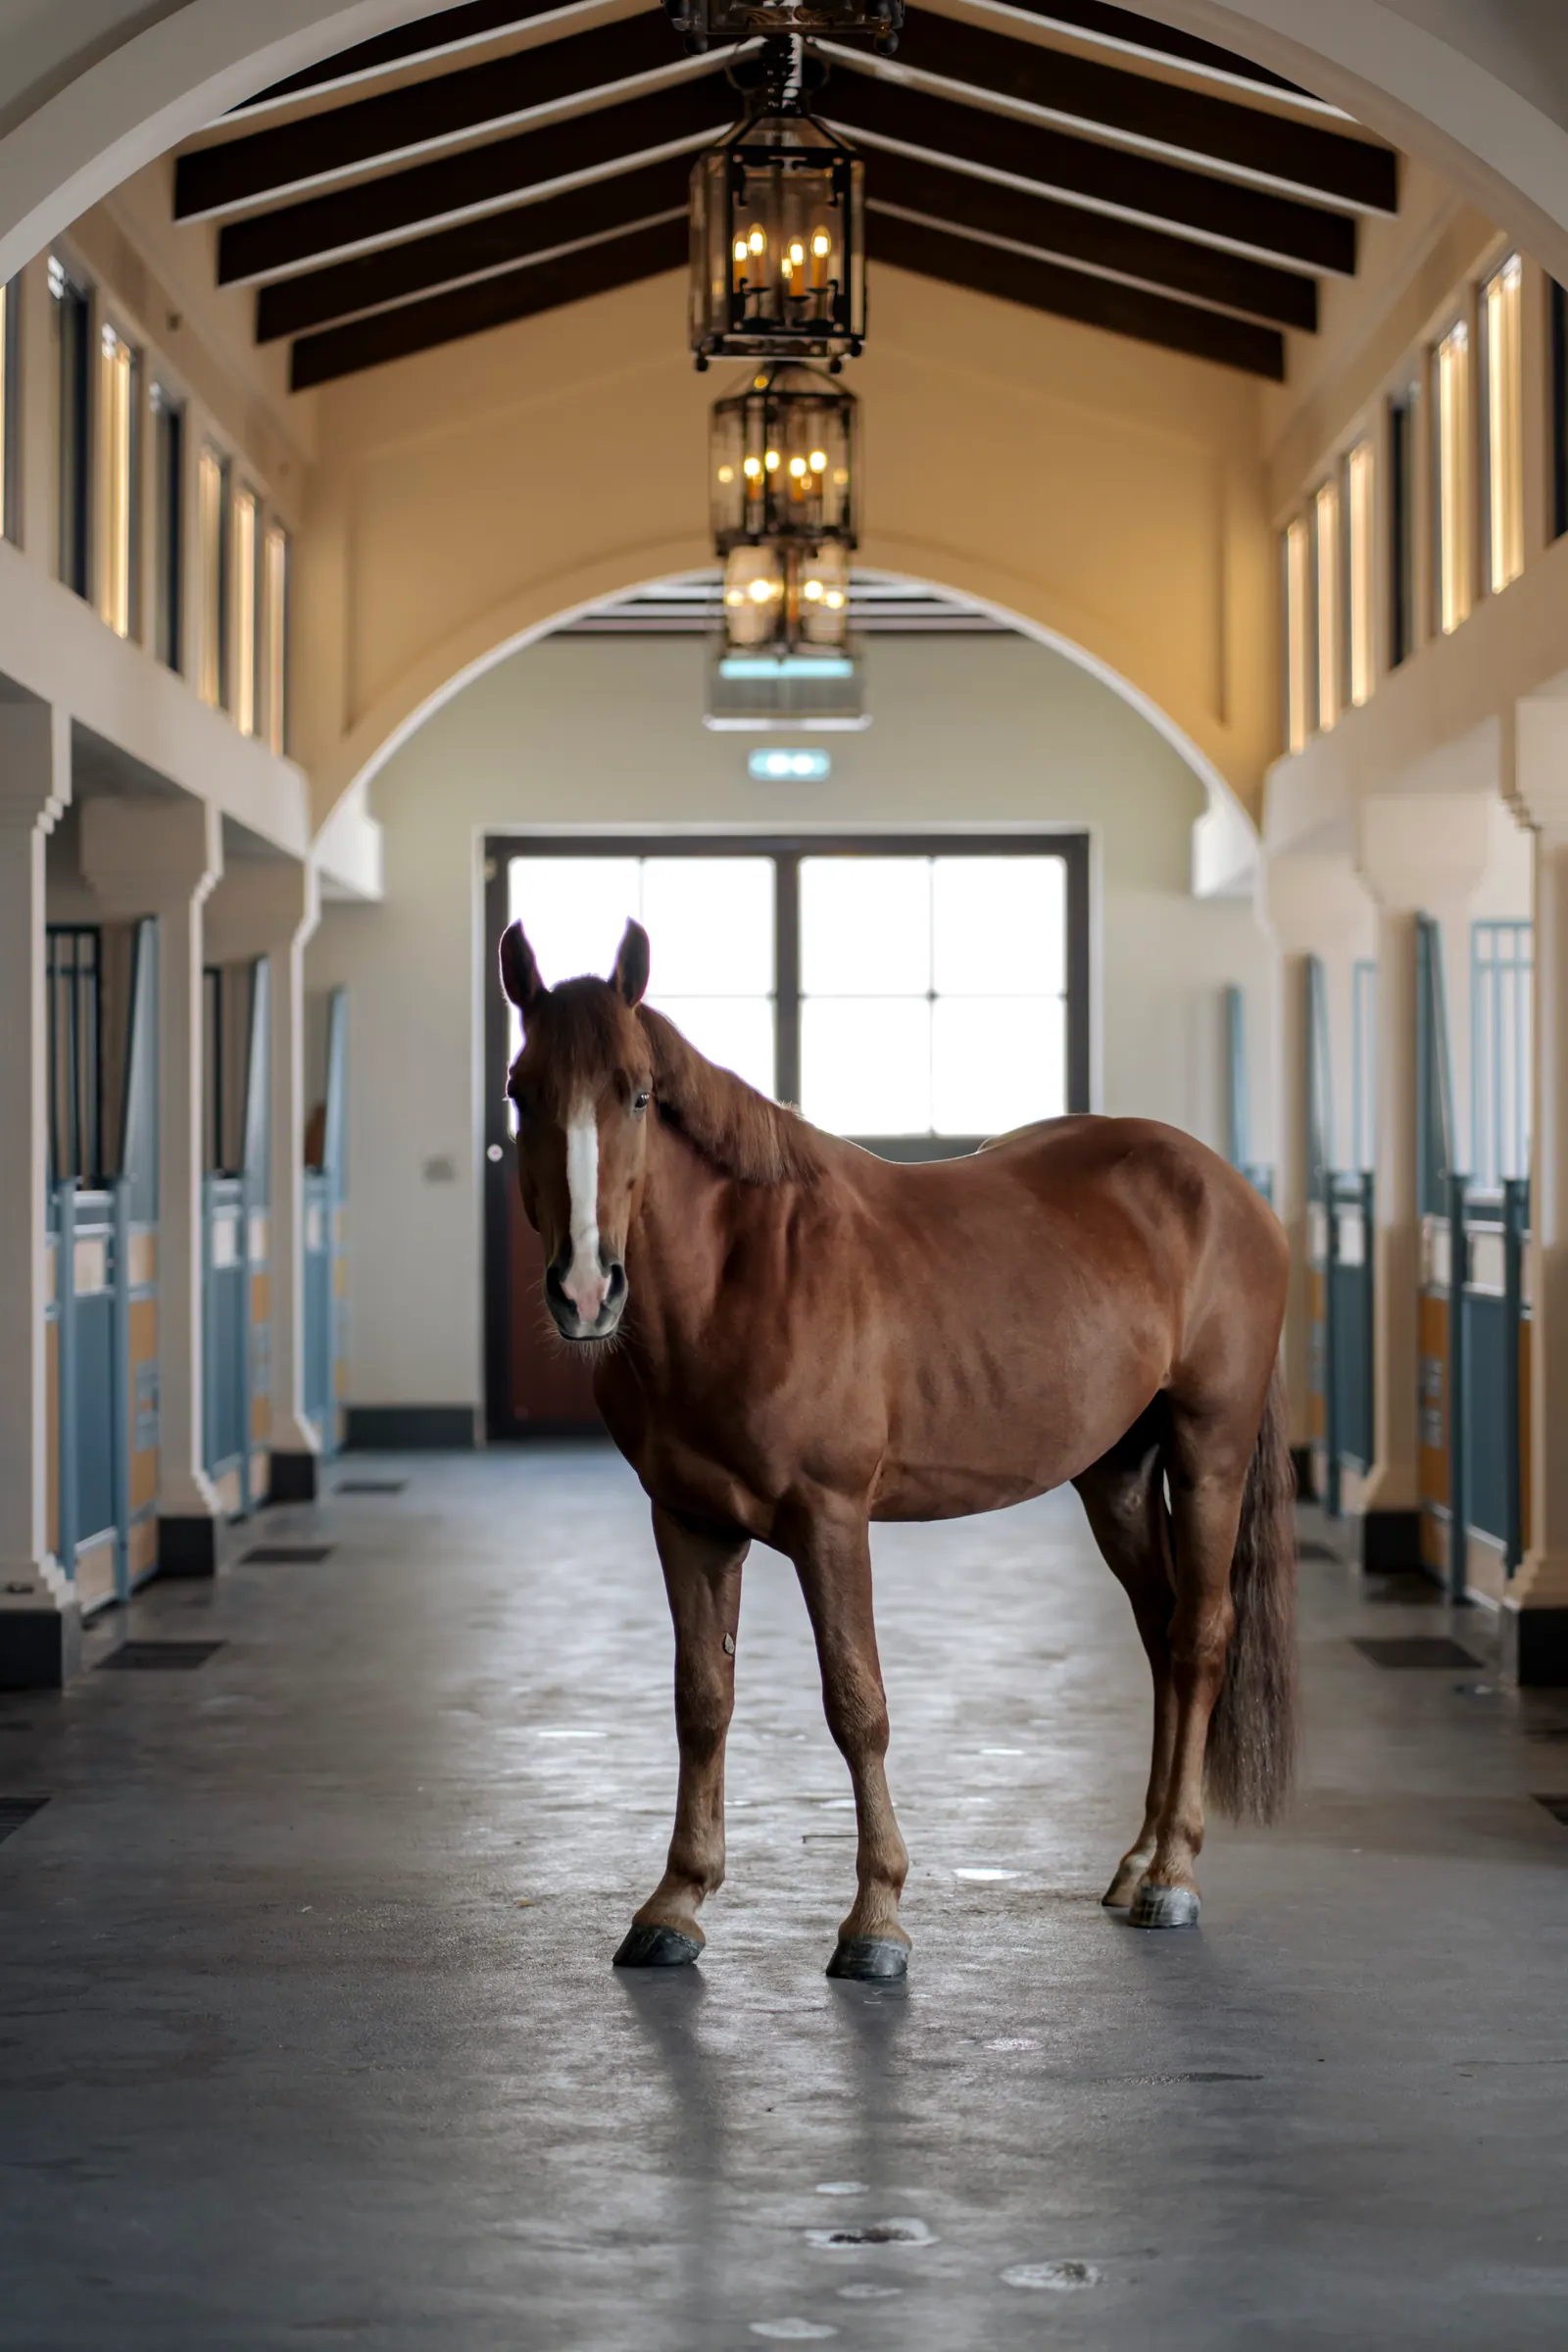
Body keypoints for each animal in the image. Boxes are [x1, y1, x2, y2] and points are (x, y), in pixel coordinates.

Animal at [498, 915, 1296, 1980]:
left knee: (1201, 1638)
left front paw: (875, 1919)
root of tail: (1225, 1189)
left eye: (636, 1092)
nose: (586, 1290)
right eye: (520, 1091)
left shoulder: (831, 1520)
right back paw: (1135, 1863)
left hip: (1210, 1454)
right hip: (1119, 1479)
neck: (741, 1278)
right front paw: (675, 1902)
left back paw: (1173, 1875)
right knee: (1162, 1636)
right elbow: (701, 1701)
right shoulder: (689, 1522)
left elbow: (855, 1704)